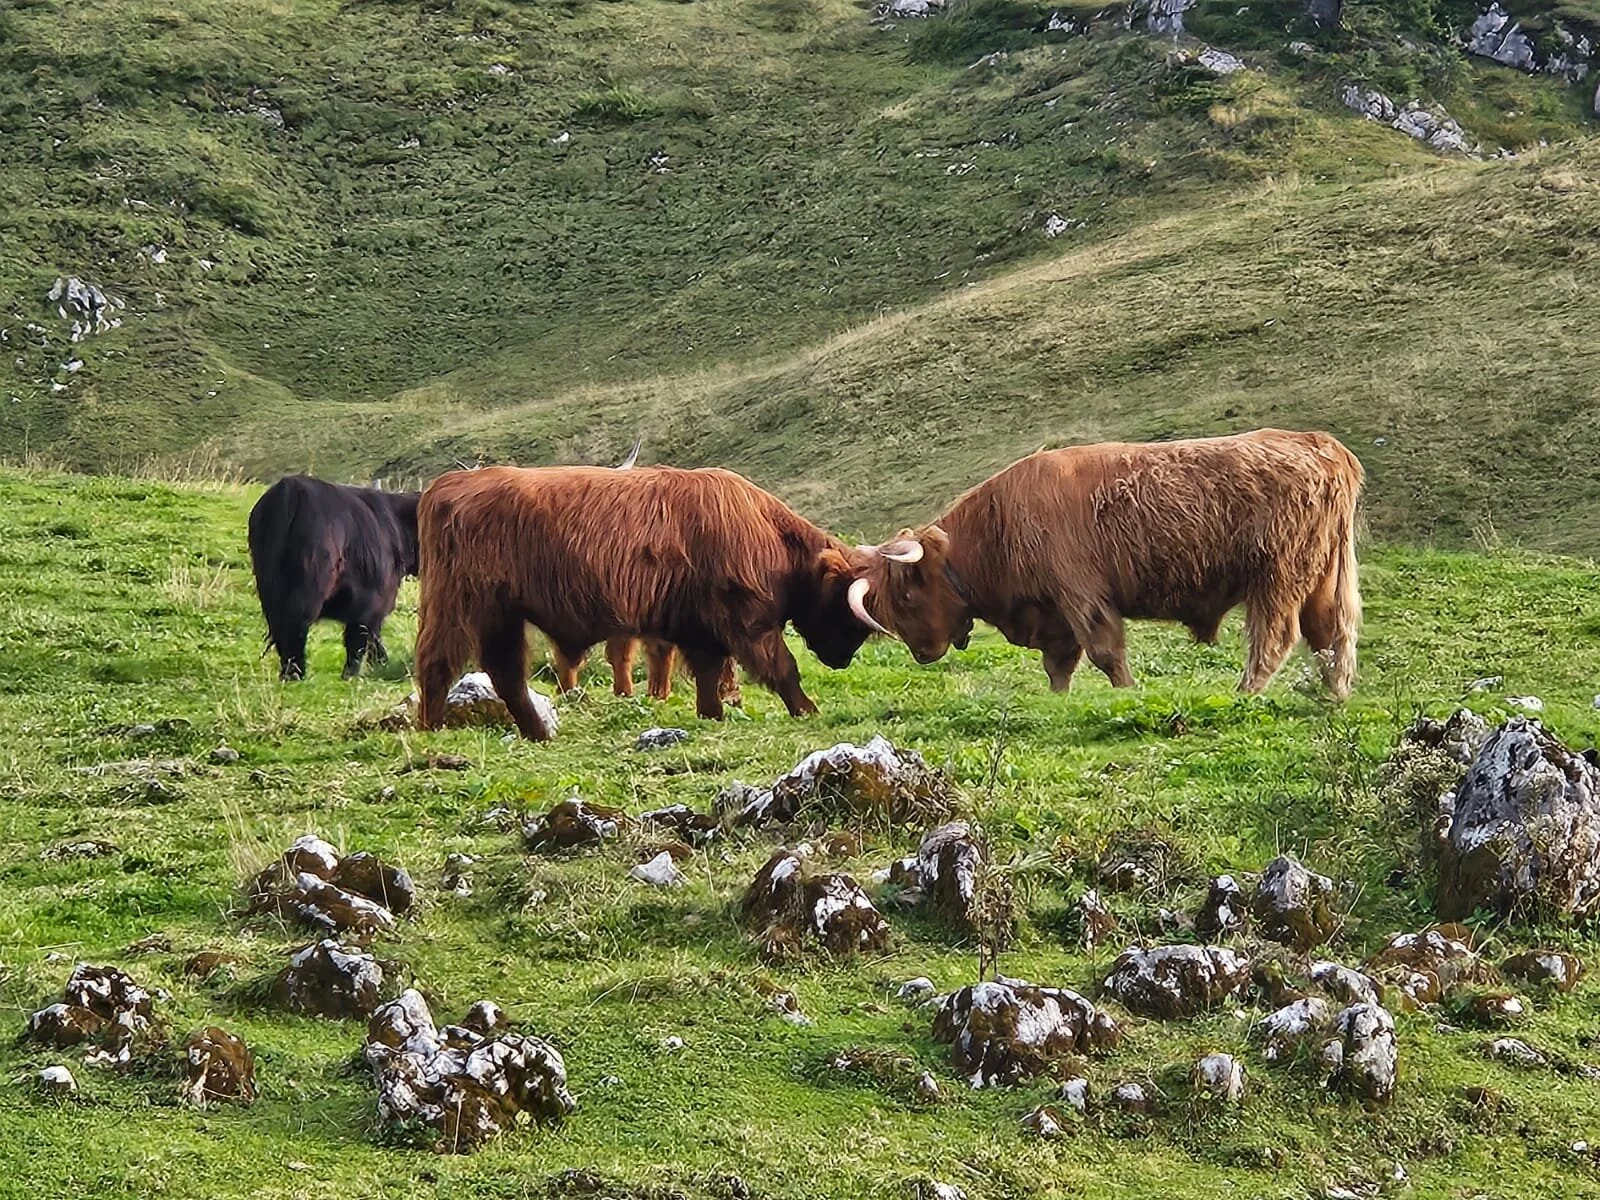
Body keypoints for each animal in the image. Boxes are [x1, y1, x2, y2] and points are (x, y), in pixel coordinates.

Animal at [247, 475, 420, 680]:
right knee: (294, 630)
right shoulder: (370, 604)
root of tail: (290, 488)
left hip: (268, 589)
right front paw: (352, 675)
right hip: (306, 590)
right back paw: (295, 675)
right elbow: (359, 641)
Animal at [411, 464, 878, 739]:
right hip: (462, 604)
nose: (842, 659)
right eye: (846, 611)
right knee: (438, 661)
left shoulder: (701, 629)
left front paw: (712, 714)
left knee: (505, 672)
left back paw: (537, 731)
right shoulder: (748, 621)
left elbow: (709, 673)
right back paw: (432, 727)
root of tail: (448, 484)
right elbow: (782, 667)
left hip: (502, 615)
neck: (769, 532)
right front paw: (807, 709)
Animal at [848, 429, 1363, 698]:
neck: (997, 529)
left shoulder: (1081, 595)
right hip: (1325, 574)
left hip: (1278, 575)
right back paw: (1335, 694)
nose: (922, 652)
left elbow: (1103, 651)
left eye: (906, 594)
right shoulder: (1055, 613)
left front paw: (1128, 693)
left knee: (1276, 636)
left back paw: (1245, 692)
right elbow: (1059, 664)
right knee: (1331, 633)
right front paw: (1058, 700)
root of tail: (1316, 442)